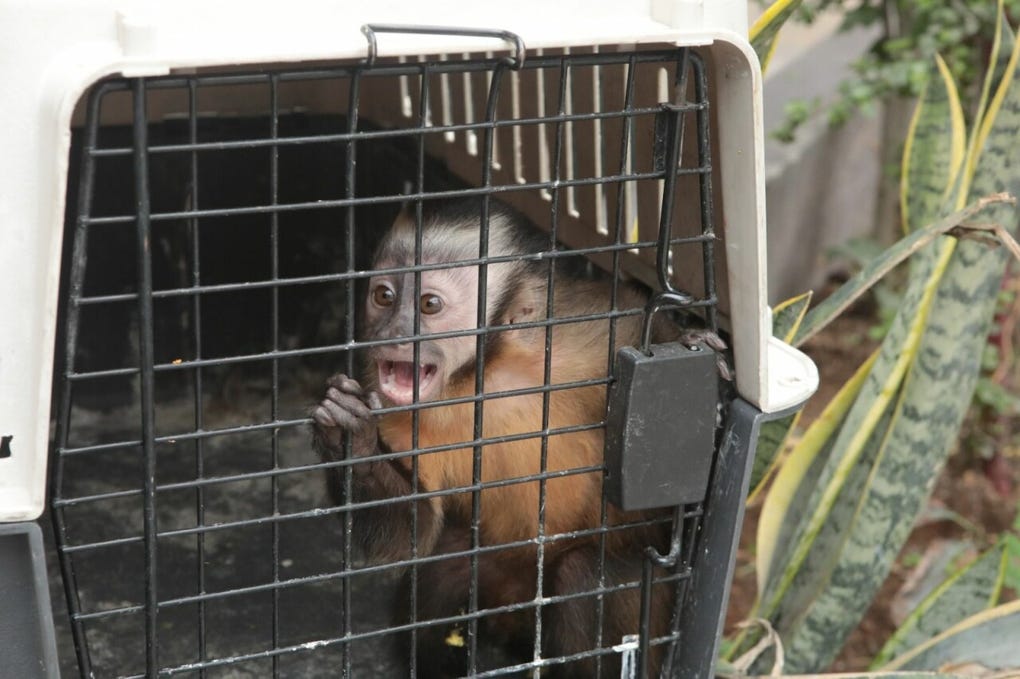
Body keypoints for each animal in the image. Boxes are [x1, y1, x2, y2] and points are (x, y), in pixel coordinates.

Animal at [313, 198, 713, 677]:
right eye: (384, 297)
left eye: (429, 304)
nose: (393, 334)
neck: (481, 376)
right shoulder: (390, 405)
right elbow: (412, 530)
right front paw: (350, 439)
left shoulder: (574, 337)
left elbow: (646, 335)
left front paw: (700, 347)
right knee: (443, 568)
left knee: (589, 576)